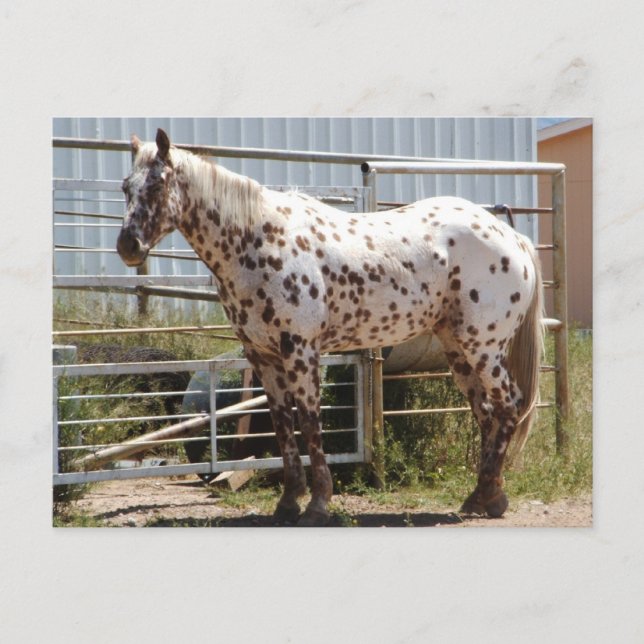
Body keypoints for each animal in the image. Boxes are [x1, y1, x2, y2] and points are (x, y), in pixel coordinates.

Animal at [117, 128, 544, 526]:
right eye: (126, 186)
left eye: (157, 184)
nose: (127, 246)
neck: (259, 241)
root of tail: (512, 238)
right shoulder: (263, 357)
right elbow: (282, 425)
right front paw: (288, 503)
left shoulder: (301, 351)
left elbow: (309, 423)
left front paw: (317, 505)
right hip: (458, 350)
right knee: (486, 412)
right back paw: (481, 497)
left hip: (484, 347)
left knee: (507, 405)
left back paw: (489, 495)